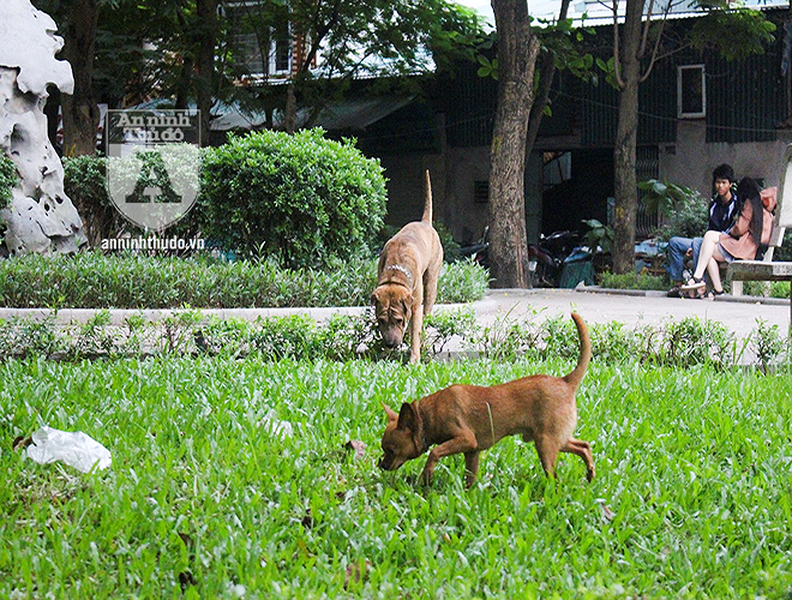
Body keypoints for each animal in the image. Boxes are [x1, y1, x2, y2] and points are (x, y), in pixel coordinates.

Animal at [370, 171, 442, 364]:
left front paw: (414, 358)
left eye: (399, 320)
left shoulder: (415, 304)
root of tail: (425, 223)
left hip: (431, 282)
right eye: (381, 321)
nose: (390, 344)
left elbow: (415, 330)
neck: (395, 275)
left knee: (426, 314)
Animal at [378, 314, 592, 488]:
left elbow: (434, 453)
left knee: (554, 476)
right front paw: (468, 495)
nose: (382, 464)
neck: (426, 416)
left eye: (391, 450)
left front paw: (428, 475)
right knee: (584, 446)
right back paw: (590, 474)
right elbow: (470, 478)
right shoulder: (472, 452)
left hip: (546, 444)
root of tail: (565, 382)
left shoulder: (465, 439)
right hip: (557, 439)